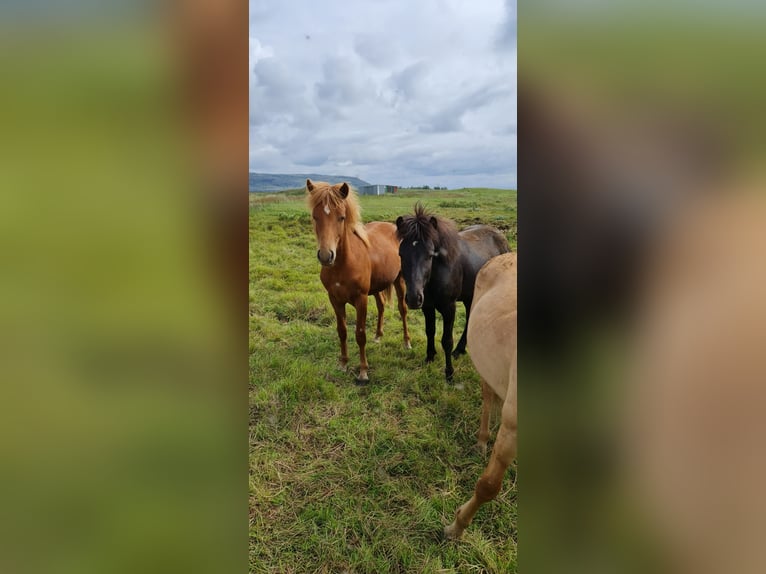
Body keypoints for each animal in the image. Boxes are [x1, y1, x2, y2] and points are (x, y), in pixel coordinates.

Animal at [308, 180, 412, 384]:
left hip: (399, 280)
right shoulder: (335, 299)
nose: (326, 256)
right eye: (315, 217)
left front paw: (363, 371)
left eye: (341, 217)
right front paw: (343, 363)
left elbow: (360, 334)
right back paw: (378, 335)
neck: (343, 265)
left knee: (402, 310)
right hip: (377, 287)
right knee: (381, 306)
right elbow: (342, 331)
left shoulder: (361, 299)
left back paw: (406, 342)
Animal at [396, 205, 510, 384]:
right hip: (470, 296)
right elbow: (430, 331)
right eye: (401, 254)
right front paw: (429, 357)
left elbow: (447, 341)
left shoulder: (449, 308)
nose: (413, 299)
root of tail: (501, 236)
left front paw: (449, 374)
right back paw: (461, 349)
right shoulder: (427, 307)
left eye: (430, 255)